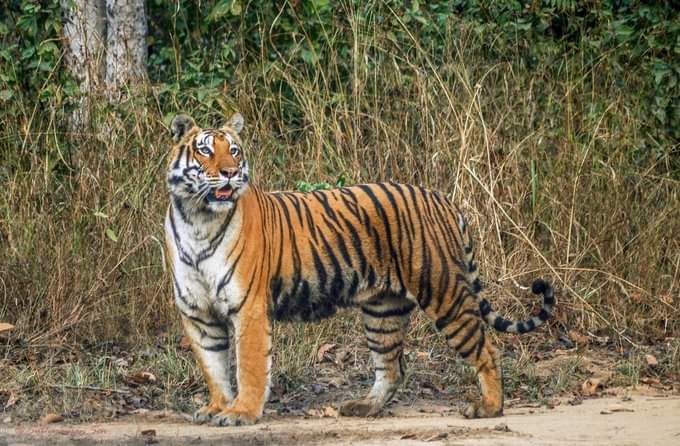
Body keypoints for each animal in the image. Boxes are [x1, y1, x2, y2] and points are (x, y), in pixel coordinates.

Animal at [164, 112, 555, 426]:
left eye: (234, 150)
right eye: (205, 151)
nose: (230, 172)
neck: (197, 220)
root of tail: (441, 198)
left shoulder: (249, 308)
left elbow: (248, 367)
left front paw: (241, 413)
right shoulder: (198, 314)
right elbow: (214, 368)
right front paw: (217, 408)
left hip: (444, 293)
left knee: (486, 350)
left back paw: (488, 407)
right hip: (383, 310)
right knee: (393, 367)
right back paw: (365, 407)